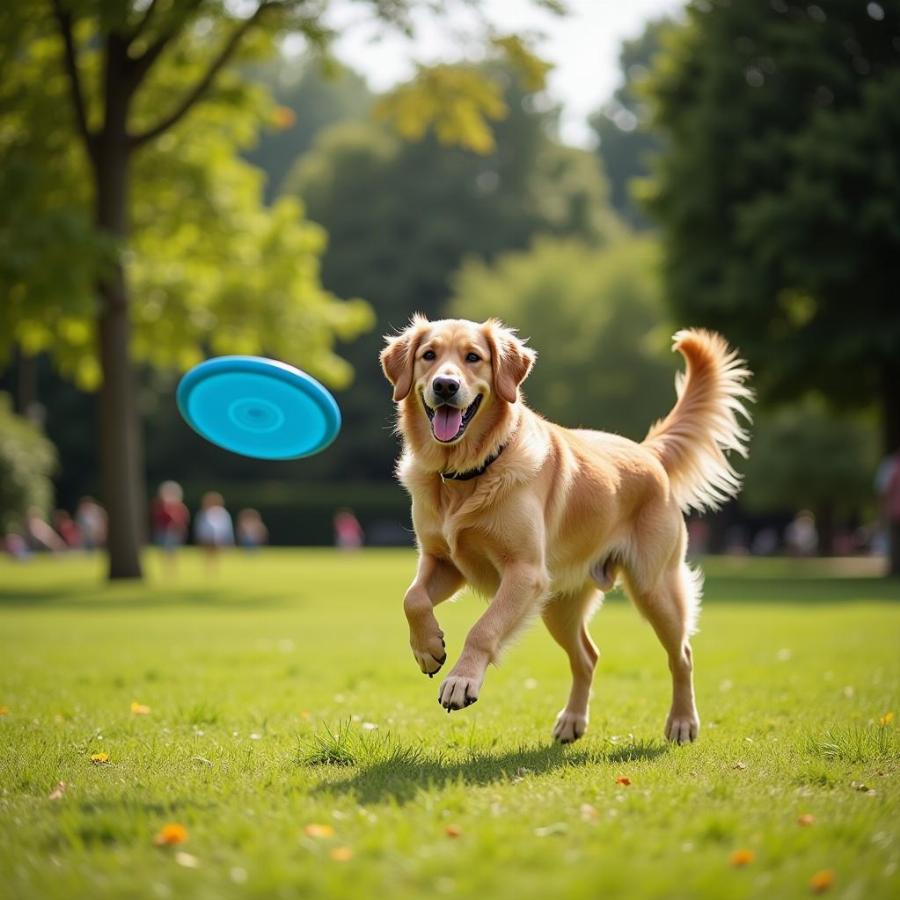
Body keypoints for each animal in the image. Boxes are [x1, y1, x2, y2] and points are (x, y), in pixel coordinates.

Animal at [380, 316, 752, 744]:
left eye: (473, 357)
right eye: (429, 355)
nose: (445, 385)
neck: (468, 473)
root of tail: (646, 452)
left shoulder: (524, 572)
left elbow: (483, 628)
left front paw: (461, 680)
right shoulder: (443, 561)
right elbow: (412, 598)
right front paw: (428, 648)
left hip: (653, 587)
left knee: (682, 656)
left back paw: (682, 723)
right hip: (560, 605)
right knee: (588, 657)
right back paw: (572, 720)